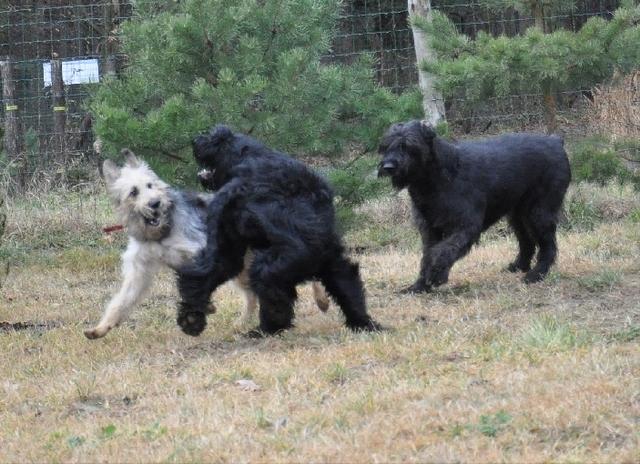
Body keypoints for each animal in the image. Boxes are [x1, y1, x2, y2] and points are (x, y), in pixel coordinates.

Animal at [84, 149, 329, 339]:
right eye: (133, 192)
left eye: (150, 185)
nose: (155, 204)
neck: (161, 233)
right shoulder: (139, 272)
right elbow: (121, 301)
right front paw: (101, 328)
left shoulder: (200, 253)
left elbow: (196, 284)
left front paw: (200, 311)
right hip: (243, 267)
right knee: (251, 295)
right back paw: (242, 322)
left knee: (309, 271)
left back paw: (321, 299)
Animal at [378, 120, 571, 293]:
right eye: (386, 146)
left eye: (409, 145)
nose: (388, 166)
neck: (438, 176)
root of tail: (556, 141)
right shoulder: (430, 229)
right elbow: (428, 254)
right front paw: (419, 286)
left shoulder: (465, 226)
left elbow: (443, 251)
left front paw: (435, 275)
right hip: (518, 215)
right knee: (527, 242)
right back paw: (518, 266)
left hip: (539, 213)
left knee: (548, 246)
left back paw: (537, 274)